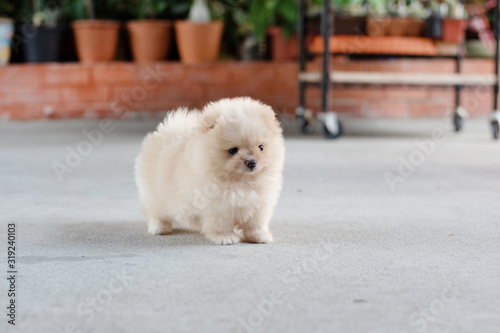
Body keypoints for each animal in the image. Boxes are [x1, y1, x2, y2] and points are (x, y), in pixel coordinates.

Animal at [135, 96, 286, 244]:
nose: (251, 162)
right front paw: (226, 237)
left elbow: (256, 224)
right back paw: (159, 227)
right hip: (155, 196)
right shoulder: (218, 206)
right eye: (233, 151)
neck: (242, 181)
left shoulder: (260, 205)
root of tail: (167, 132)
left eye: (261, 147)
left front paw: (259, 236)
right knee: (154, 212)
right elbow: (221, 225)